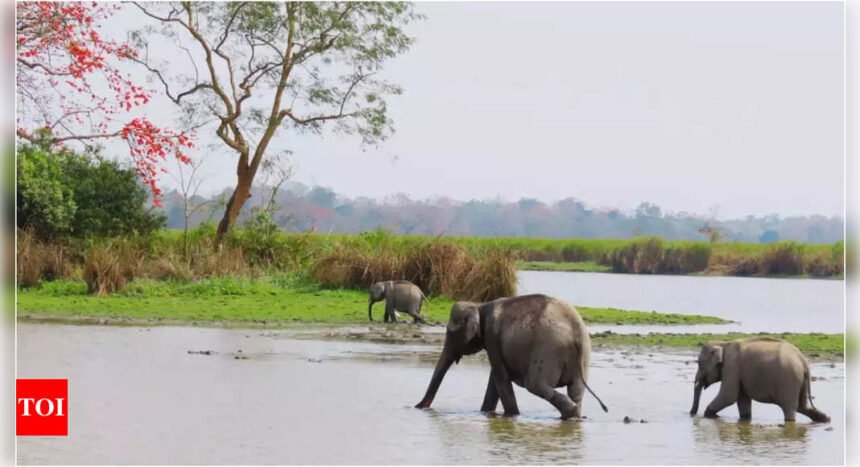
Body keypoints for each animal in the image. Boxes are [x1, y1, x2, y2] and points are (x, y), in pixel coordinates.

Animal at [414, 294, 608, 420]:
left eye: (449, 333)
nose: (417, 407)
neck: (479, 305)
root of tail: (575, 329)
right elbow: (494, 381)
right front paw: (486, 414)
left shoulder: (492, 336)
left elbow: (501, 379)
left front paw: (511, 416)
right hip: (582, 356)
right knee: (577, 390)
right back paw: (575, 417)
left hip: (548, 349)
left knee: (535, 385)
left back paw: (571, 413)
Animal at [690, 337, 830, 423]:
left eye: (699, 364)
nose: (692, 414)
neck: (724, 343)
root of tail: (802, 360)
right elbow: (742, 400)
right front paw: (745, 419)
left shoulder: (731, 366)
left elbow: (729, 396)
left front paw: (709, 414)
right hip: (800, 381)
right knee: (802, 407)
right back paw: (826, 419)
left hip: (789, 382)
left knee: (790, 408)